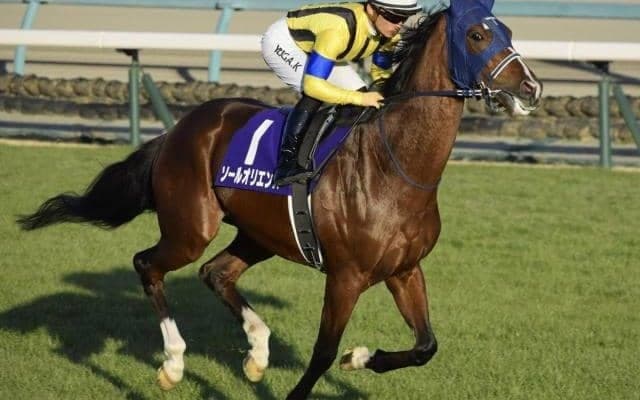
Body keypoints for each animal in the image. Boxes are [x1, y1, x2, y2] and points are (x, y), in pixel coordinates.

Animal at [17, 0, 542, 398]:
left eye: (509, 30)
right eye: (477, 34)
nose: (531, 88)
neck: (397, 168)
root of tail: (179, 128)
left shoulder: (405, 270)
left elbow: (425, 345)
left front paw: (359, 358)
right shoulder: (347, 276)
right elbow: (323, 351)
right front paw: (331, 365)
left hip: (260, 233)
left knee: (216, 273)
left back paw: (256, 351)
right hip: (191, 227)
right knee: (148, 264)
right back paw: (173, 363)